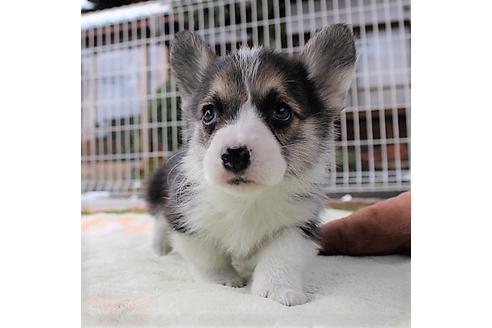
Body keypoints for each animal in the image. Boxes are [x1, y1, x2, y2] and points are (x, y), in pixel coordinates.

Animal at [144, 24, 356, 306]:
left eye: (281, 111)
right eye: (208, 113)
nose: (234, 155)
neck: (246, 200)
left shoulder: (297, 224)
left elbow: (281, 255)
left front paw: (277, 290)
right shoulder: (186, 217)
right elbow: (207, 256)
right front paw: (223, 281)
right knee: (158, 217)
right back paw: (159, 248)